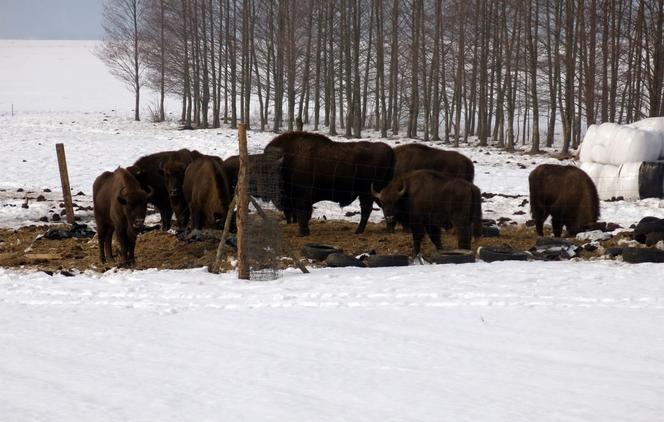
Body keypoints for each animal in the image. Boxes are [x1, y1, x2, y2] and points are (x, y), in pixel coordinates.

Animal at [268, 132, 396, 236]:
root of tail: (389, 150)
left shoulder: (301, 197)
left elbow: (303, 213)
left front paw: (302, 233)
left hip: (367, 193)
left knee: (367, 210)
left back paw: (358, 231)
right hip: (375, 192)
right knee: (385, 206)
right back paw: (389, 229)